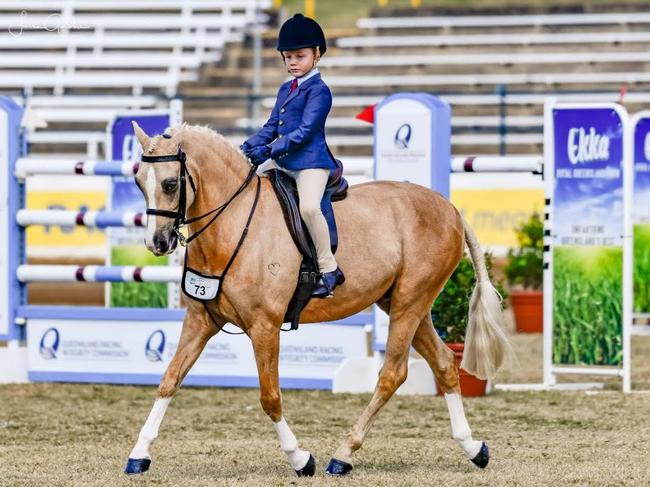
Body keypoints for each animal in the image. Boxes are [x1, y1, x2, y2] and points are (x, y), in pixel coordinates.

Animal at [124, 121, 508, 476]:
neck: (232, 222)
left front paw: (300, 458)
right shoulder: (201, 321)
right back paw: (473, 448)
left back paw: (343, 455)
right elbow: (169, 380)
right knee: (443, 362)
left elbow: (270, 397)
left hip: (410, 303)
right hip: (403, 303)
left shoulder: (264, 326)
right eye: (139, 182)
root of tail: (450, 209)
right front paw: (139, 455)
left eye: (170, 184)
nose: (157, 243)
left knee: (392, 373)